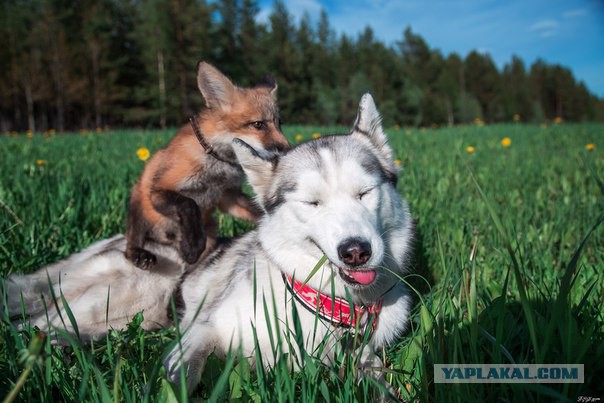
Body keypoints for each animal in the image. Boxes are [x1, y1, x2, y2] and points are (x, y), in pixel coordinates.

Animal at [5, 94, 416, 394]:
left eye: (364, 193)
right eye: (312, 202)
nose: (356, 251)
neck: (326, 303)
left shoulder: (363, 359)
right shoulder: (206, 328)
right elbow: (183, 373)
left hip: (121, 320)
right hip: (108, 298)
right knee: (34, 323)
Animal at [125, 62, 288, 272]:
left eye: (279, 123)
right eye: (258, 124)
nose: (288, 149)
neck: (216, 164)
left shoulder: (228, 196)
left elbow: (257, 209)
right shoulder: (159, 191)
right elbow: (189, 204)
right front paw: (193, 244)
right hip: (138, 201)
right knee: (130, 244)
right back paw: (139, 253)